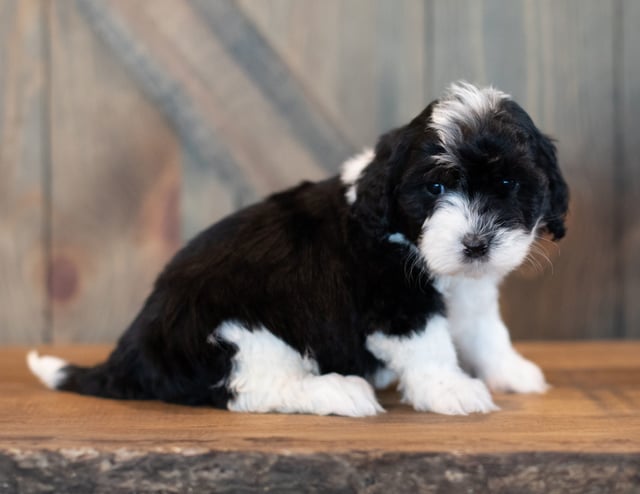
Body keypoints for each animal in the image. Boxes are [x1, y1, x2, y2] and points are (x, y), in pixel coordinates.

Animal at [30, 83, 568, 414]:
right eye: (435, 188)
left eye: (508, 184)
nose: (475, 244)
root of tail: (131, 351)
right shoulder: (395, 302)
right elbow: (430, 345)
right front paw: (452, 389)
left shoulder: (472, 293)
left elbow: (485, 332)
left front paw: (512, 372)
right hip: (240, 330)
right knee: (252, 389)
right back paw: (338, 391)